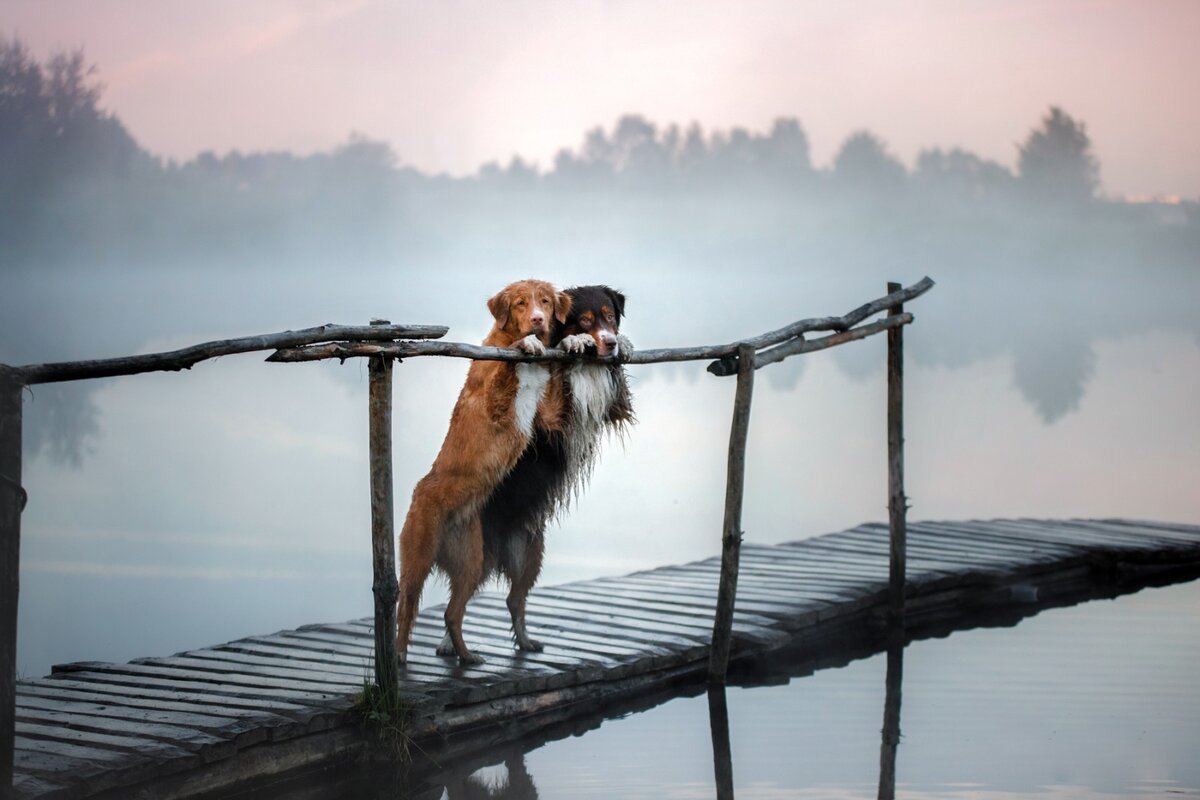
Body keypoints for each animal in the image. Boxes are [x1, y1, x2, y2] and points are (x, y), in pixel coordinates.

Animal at [393, 278, 571, 666]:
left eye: (545, 302)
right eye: (520, 304)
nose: (538, 320)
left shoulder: (548, 419)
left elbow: (557, 386)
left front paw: (571, 342)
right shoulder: (494, 406)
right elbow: (505, 371)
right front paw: (526, 344)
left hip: (471, 560)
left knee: (452, 612)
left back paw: (468, 655)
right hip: (417, 556)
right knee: (406, 608)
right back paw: (399, 655)